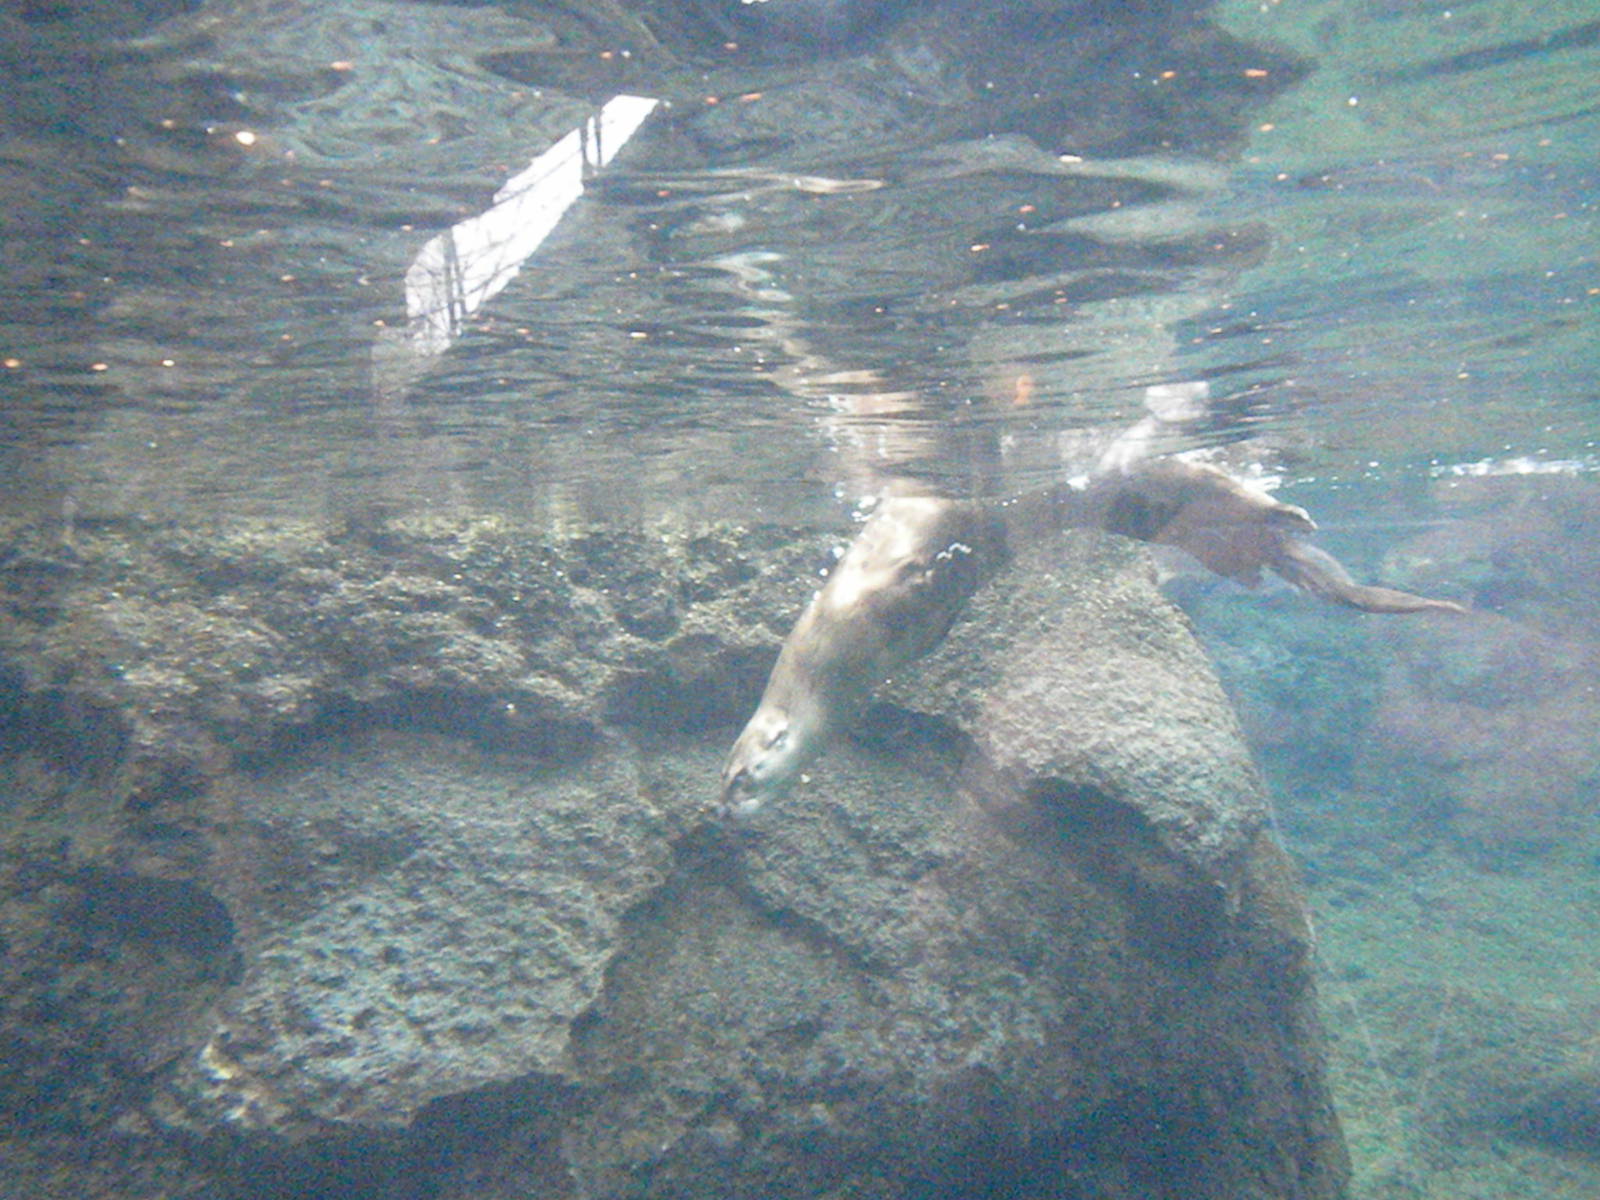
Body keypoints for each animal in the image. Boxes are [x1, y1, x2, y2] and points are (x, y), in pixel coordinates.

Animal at [719, 458, 1464, 815]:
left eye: (739, 778)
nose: (723, 814)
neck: (829, 662)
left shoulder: (875, 596)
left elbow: (922, 572)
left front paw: (941, 566)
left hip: (1188, 482)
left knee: (1250, 494)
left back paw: (1293, 510)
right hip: (1208, 537)